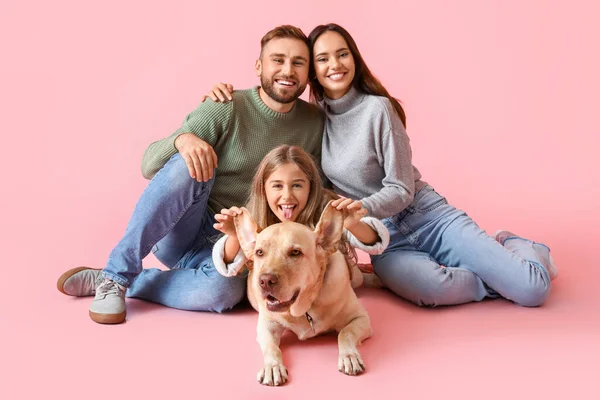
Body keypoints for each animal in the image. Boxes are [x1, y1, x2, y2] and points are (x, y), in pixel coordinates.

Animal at [236, 202, 372, 386]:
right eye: (259, 252)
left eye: (295, 252)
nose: (264, 281)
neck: (304, 307)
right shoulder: (266, 325)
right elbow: (272, 348)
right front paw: (272, 366)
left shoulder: (361, 318)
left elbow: (345, 333)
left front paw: (349, 356)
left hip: (357, 278)